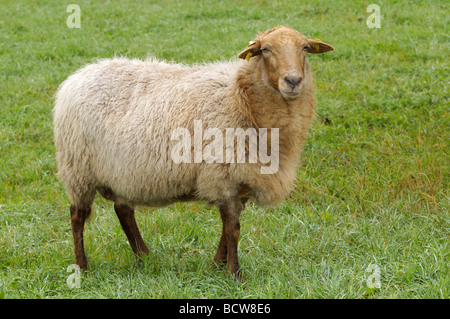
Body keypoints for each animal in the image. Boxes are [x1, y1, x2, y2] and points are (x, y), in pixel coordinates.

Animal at [53, 25, 334, 280]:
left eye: (305, 48)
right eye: (265, 50)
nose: (293, 81)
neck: (241, 99)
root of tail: (78, 75)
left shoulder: (240, 179)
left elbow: (227, 230)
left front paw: (217, 265)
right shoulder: (223, 176)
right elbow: (233, 229)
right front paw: (234, 274)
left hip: (122, 171)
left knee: (123, 212)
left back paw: (144, 256)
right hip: (78, 169)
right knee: (77, 216)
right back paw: (82, 267)